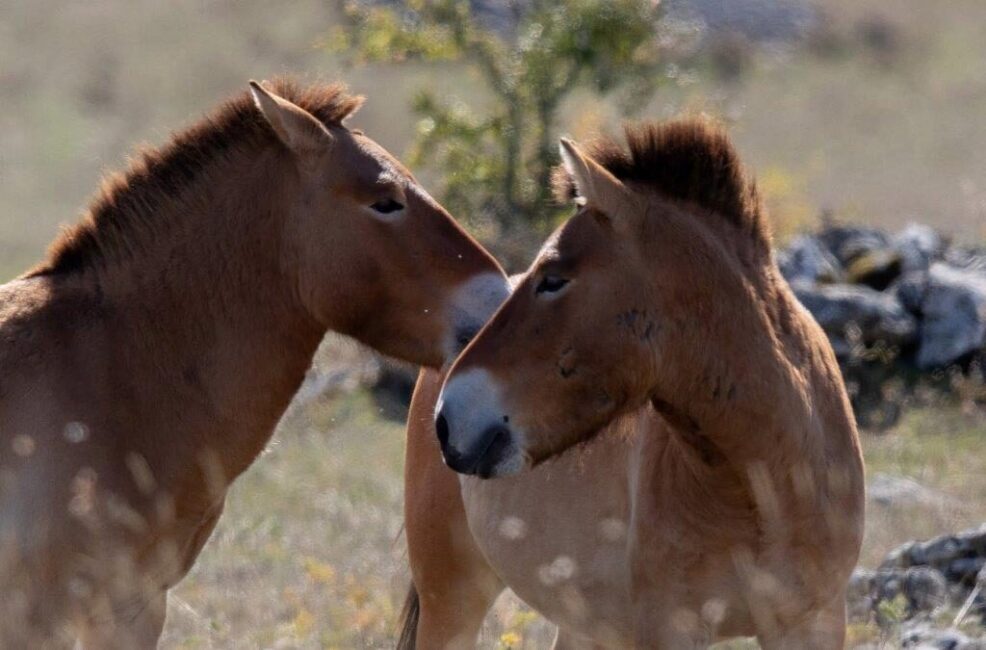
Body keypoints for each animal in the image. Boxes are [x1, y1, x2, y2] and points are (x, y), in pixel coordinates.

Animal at [401, 120, 865, 648]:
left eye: (554, 278)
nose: (450, 417)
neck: (765, 488)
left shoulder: (813, 622)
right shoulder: (670, 629)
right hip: (452, 598)